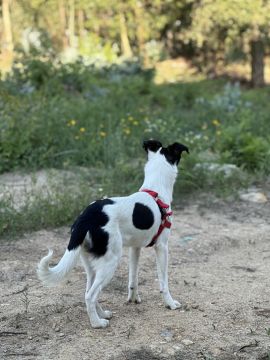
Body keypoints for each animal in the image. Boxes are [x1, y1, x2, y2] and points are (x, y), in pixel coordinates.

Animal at [37, 141, 189, 330]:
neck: (156, 190)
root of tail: (84, 218)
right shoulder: (162, 247)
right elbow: (164, 282)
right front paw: (170, 303)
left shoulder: (135, 248)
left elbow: (133, 278)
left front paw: (133, 299)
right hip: (110, 261)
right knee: (90, 295)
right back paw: (97, 323)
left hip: (92, 264)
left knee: (88, 291)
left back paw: (102, 314)